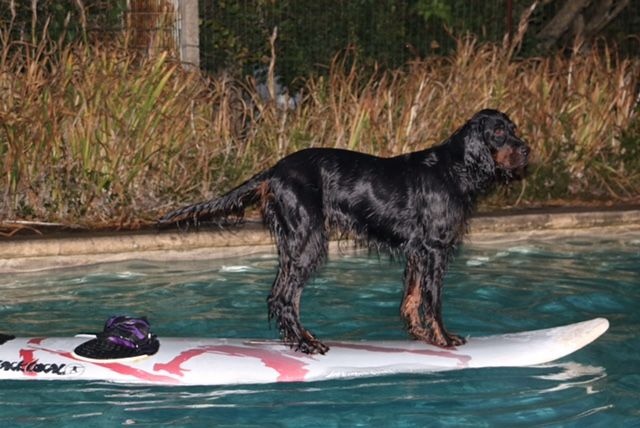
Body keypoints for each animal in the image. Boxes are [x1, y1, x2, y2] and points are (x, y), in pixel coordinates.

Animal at [160, 109, 528, 354]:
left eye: (514, 129)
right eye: (498, 133)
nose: (527, 150)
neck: (456, 168)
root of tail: (274, 171)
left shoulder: (417, 251)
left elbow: (411, 299)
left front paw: (422, 337)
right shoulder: (436, 248)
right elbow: (432, 299)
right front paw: (443, 338)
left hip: (296, 243)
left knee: (284, 297)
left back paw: (299, 340)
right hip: (308, 242)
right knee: (283, 297)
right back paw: (305, 344)